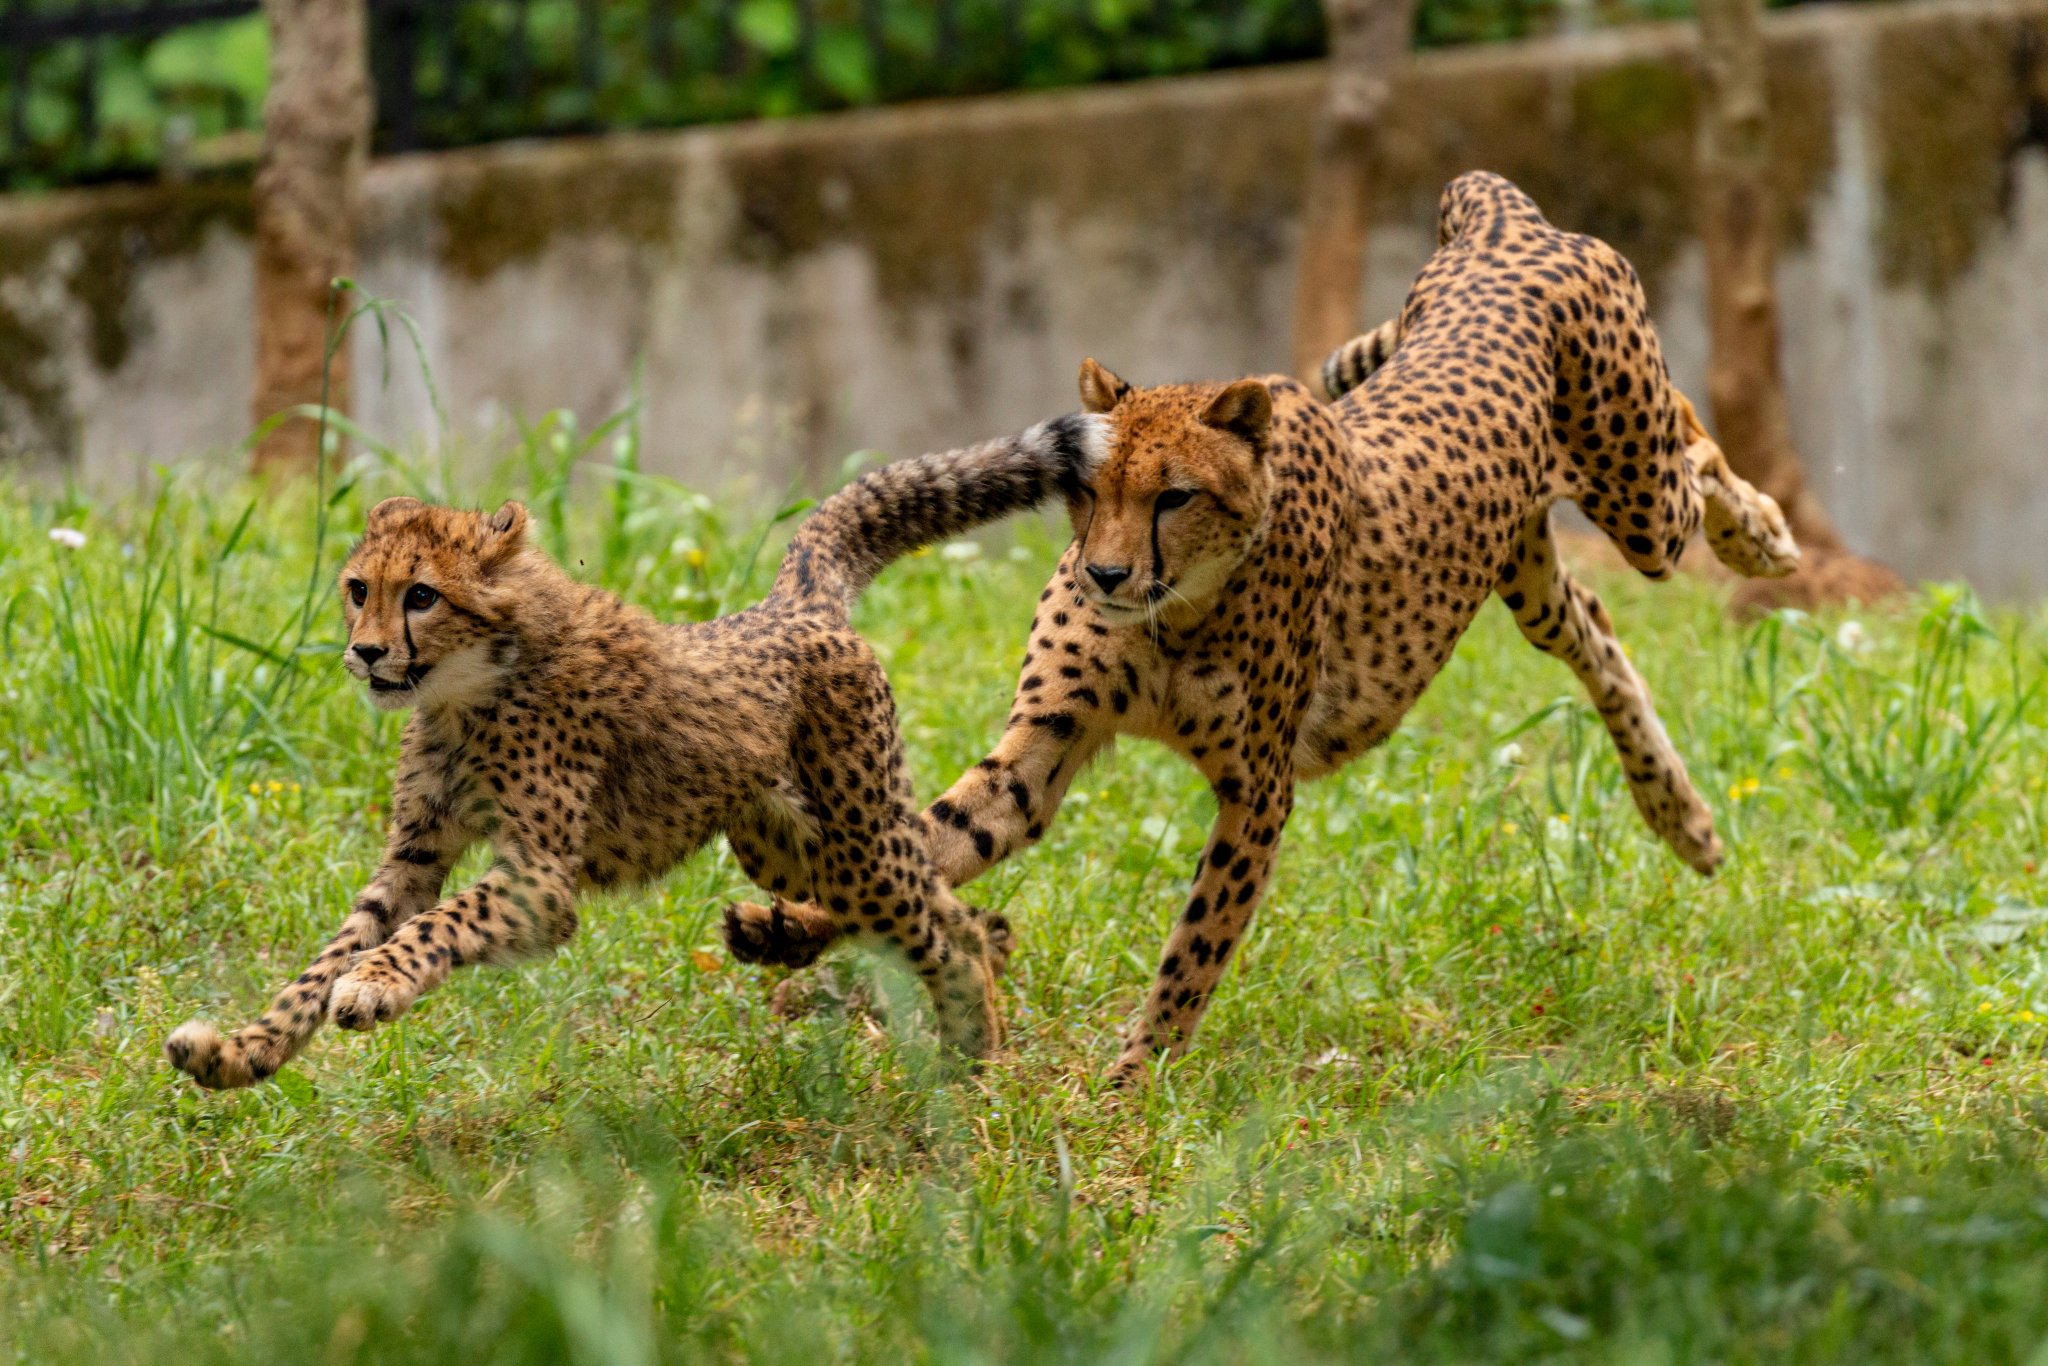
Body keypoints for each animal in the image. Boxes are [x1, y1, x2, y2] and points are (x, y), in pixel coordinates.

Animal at [165, 417, 1114, 1089]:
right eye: (359, 588)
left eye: (422, 596)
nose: (364, 653)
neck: (473, 684)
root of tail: (792, 603)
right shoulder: (415, 854)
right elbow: (330, 953)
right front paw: (240, 1052)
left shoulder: (539, 881)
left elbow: (436, 926)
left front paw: (375, 985)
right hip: (788, 846)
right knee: (948, 903)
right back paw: (960, 1000)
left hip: (857, 842)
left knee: (935, 921)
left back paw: (973, 1051)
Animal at [745, 174, 1802, 1089]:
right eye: (1087, 488)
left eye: (1173, 495)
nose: (1105, 574)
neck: (1176, 610)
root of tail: (1508, 222)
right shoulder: (1041, 749)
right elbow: (938, 838)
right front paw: (790, 922)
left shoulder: (1259, 789)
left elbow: (1195, 946)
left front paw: (1132, 1086)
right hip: (1523, 565)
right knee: (1591, 623)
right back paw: (1682, 815)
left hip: (1637, 494)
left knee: (1692, 446)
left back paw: (1765, 539)